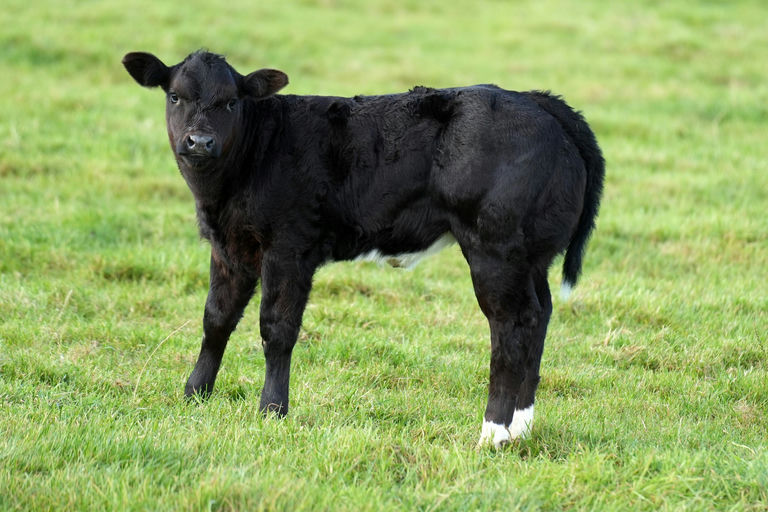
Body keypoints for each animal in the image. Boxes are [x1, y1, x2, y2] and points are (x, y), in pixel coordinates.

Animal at [122, 50, 604, 448]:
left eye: (230, 102)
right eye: (175, 97)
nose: (200, 142)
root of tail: (536, 100)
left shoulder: (289, 247)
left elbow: (276, 328)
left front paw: (272, 410)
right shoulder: (230, 248)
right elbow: (216, 320)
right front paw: (194, 394)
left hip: (495, 249)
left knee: (510, 325)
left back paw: (493, 432)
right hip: (531, 257)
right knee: (539, 314)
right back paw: (521, 427)